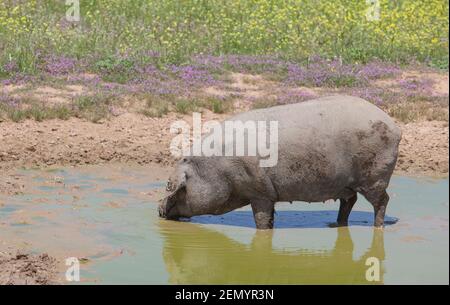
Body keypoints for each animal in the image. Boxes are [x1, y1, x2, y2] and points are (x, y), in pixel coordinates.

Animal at [158, 95, 400, 228]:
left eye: (173, 186)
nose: (158, 208)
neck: (220, 170)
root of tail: (394, 125)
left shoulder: (260, 192)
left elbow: (262, 221)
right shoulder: (268, 194)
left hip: (375, 177)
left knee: (382, 201)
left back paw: (378, 227)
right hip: (346, 184)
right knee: (349, 201)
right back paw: (336, 224)